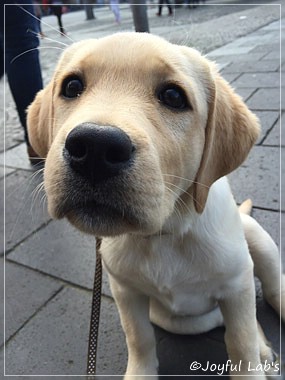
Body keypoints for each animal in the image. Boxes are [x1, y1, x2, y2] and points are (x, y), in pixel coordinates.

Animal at [27, 31, 282, 378]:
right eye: (71, 86)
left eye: (173, 96)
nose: (94, 148)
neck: (165, 235)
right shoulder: (125, 291)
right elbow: (139, 337)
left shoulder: (236, 284)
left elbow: (240, 344)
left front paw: (251, 360)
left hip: (254, 238)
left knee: (272, 291)